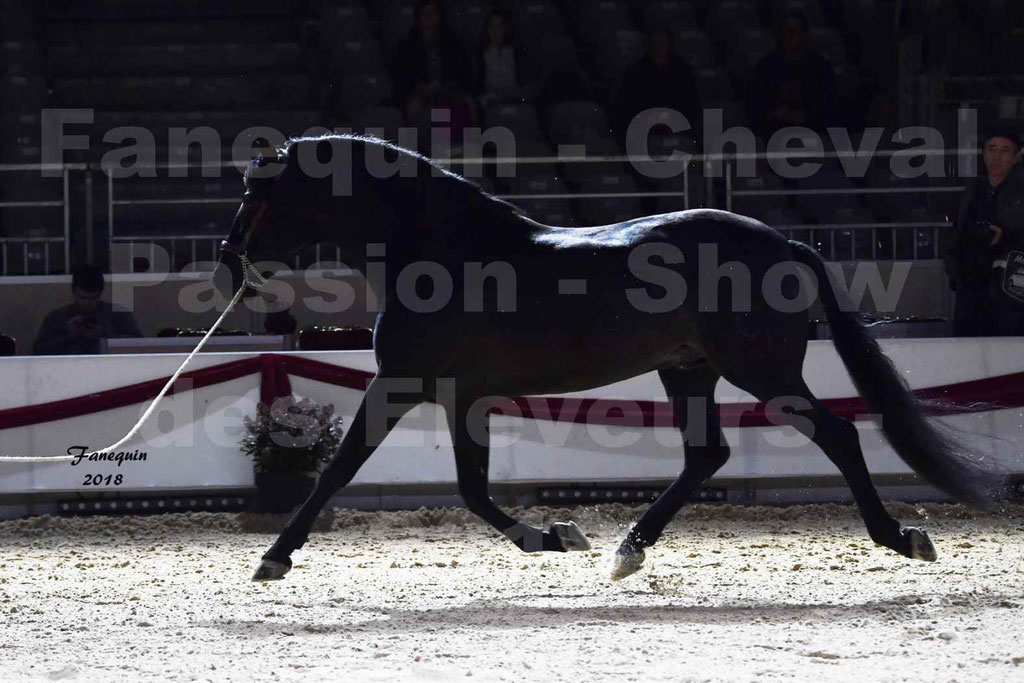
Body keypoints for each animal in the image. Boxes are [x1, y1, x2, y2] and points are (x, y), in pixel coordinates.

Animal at [216, 133, 999, 581]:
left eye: (260, 192)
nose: (228, 261)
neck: (442, 253)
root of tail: (785, 243)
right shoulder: (459, 395)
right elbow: (468, 487)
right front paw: (556, 535)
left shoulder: (404, 384)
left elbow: (342, 469)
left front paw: (274, 556)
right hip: (687, 369)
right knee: (707, 453)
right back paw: (629, 548)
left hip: (761, 370)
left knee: (834, 434)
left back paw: (901, 537)